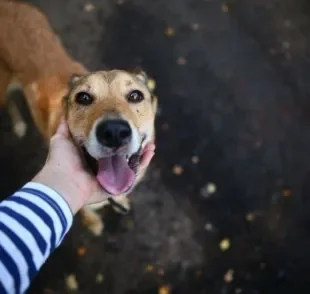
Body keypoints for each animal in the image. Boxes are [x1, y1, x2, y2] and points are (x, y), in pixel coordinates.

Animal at [0, 0, 157, 234]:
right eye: (83, 97)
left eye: (135, 96)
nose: (114, 132)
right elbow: (87, 214)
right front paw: (94, 223)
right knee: (9, 104)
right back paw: (19, 124)